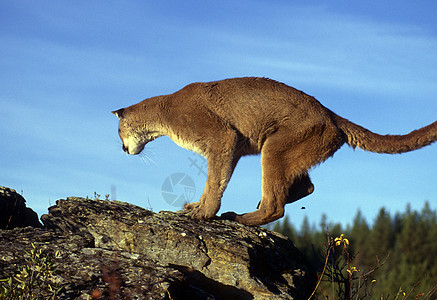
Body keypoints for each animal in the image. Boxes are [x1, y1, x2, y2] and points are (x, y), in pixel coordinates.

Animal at [113, 77, 436, 225]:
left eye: (117, 132)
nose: (123, 149)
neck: (164, 112)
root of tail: (330, 114)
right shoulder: (231, 148)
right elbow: (216, 179)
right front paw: (197, 206)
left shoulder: (222, 138)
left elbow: (214, 180)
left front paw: (204, 213)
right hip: (292, 151)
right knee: (305, 187)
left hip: (275, 149)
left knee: (276, 207)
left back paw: (242, 216)